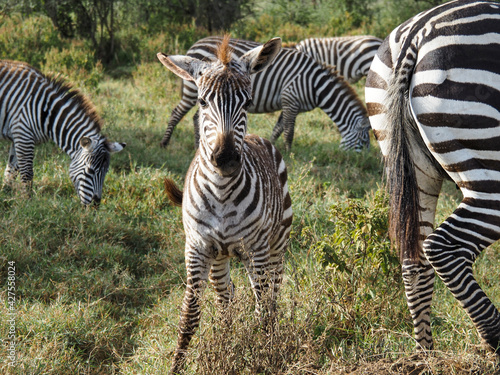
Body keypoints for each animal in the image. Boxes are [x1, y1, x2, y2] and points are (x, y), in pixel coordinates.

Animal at [0, 59, 125, 206]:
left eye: (106, 172)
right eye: (90, 171)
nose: (95, 206)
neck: (46, 111)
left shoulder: (18, 136)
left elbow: (11, 171)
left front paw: (5, 196)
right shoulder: (23, 134)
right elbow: (27, 173)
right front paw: (28, 203)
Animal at [158, 34, 292, 374]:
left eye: (247, 102)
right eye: (203, 103)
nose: (227, 158)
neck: (220, 193)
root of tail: (259, 137)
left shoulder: (256, 248)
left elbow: (263, 309)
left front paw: (264, 357)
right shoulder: (196, 247)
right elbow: (190, 314)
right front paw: (179, 364)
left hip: (275, 244)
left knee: (271, 295)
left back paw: (269, 339)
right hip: (220, 257)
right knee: (226, 297)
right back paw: (226, 337)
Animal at [161, 36, 372, 152]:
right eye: (363, 141)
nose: (363, 160)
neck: (315, 84)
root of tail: (196, 43)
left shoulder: (290, 103)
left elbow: (278, 128)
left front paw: (272, 147)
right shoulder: (291, 99)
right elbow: (289, 131)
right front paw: (289, 152)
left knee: (197, 117)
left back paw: (198, 146)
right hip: (192, 91)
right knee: (177, 113)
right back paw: (164, 143)